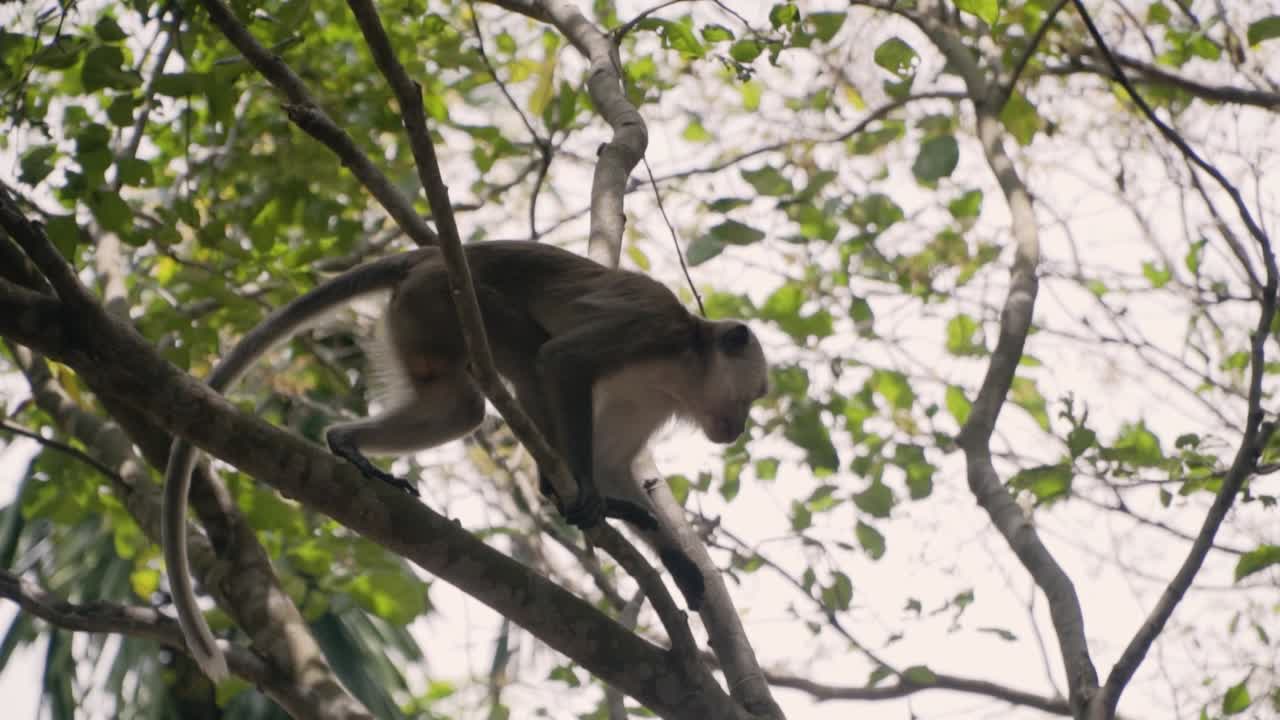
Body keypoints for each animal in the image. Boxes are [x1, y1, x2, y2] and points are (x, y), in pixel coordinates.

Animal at [162, 240, 770, 682]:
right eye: (754, 395)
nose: (738, 427)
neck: (687, 359)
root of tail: (427, 255)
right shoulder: (652, 331)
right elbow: (562, 361)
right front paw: (588, 494)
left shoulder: (656, 398)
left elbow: (614, 462)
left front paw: (681, 565)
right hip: (441, 298)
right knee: (524, 354)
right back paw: (555, 489)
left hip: (416, 319)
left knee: (459, 407)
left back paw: (347, 443)